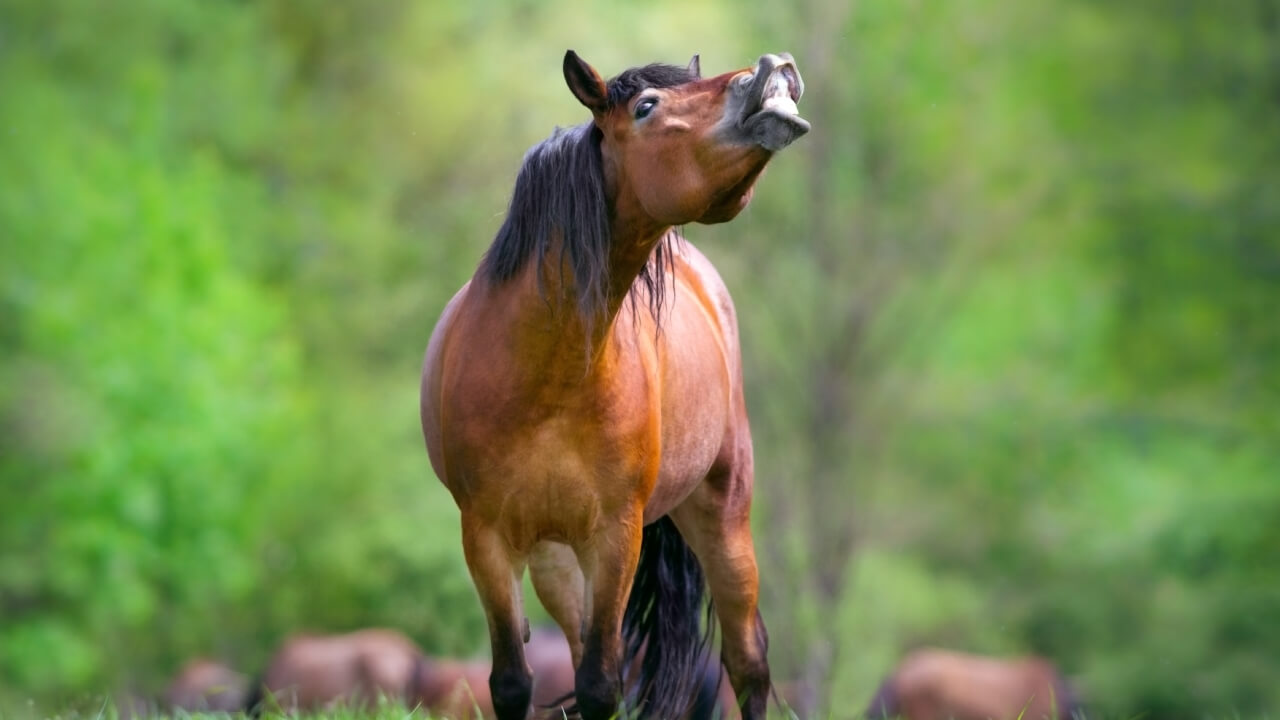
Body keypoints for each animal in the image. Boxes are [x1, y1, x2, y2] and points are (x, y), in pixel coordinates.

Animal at [419, 48, 808, 720]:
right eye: (646, 106)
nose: (773, 69)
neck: (544, 378)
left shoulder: (615, 537)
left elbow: (602, 683)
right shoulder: (488, 538)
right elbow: (514, 682)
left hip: (722, 512)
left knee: (748, 659)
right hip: (554, 557)